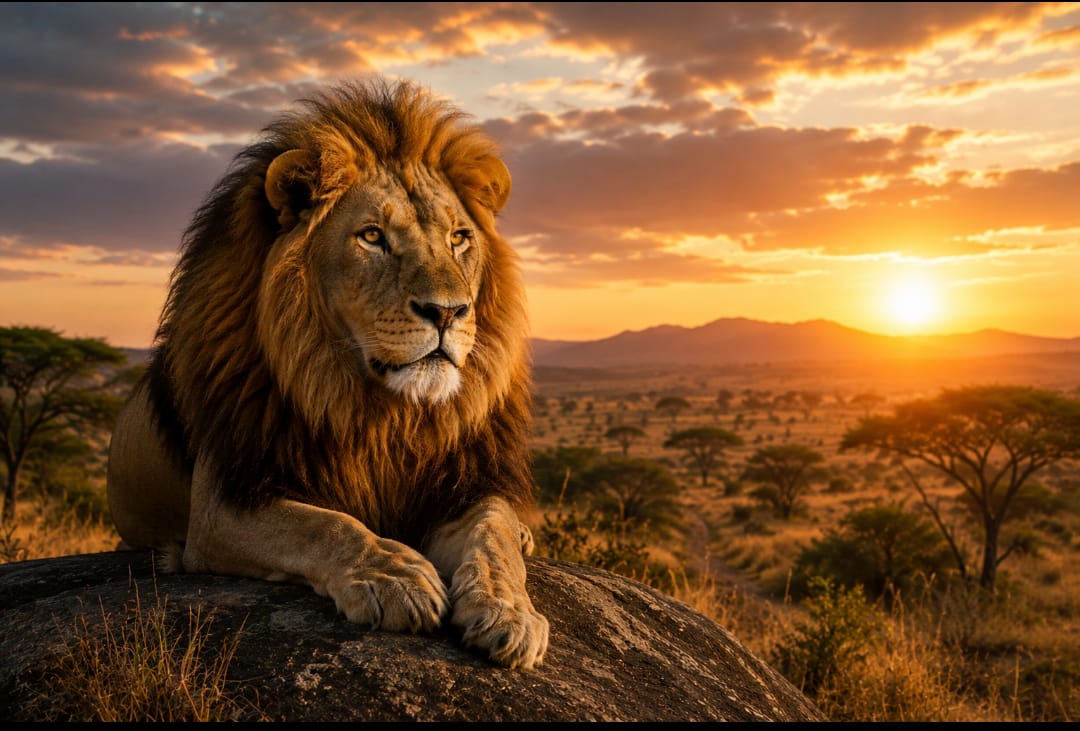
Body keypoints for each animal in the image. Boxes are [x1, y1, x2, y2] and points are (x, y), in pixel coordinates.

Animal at [106, 78, 549, 669]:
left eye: (459, 238)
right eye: (372, 237)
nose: (448, 312)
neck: (387, 414)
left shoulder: (464, 481)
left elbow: (493, 535)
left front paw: (509, 611)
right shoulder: (225, 499)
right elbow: (324, 525)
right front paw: (394, 575)